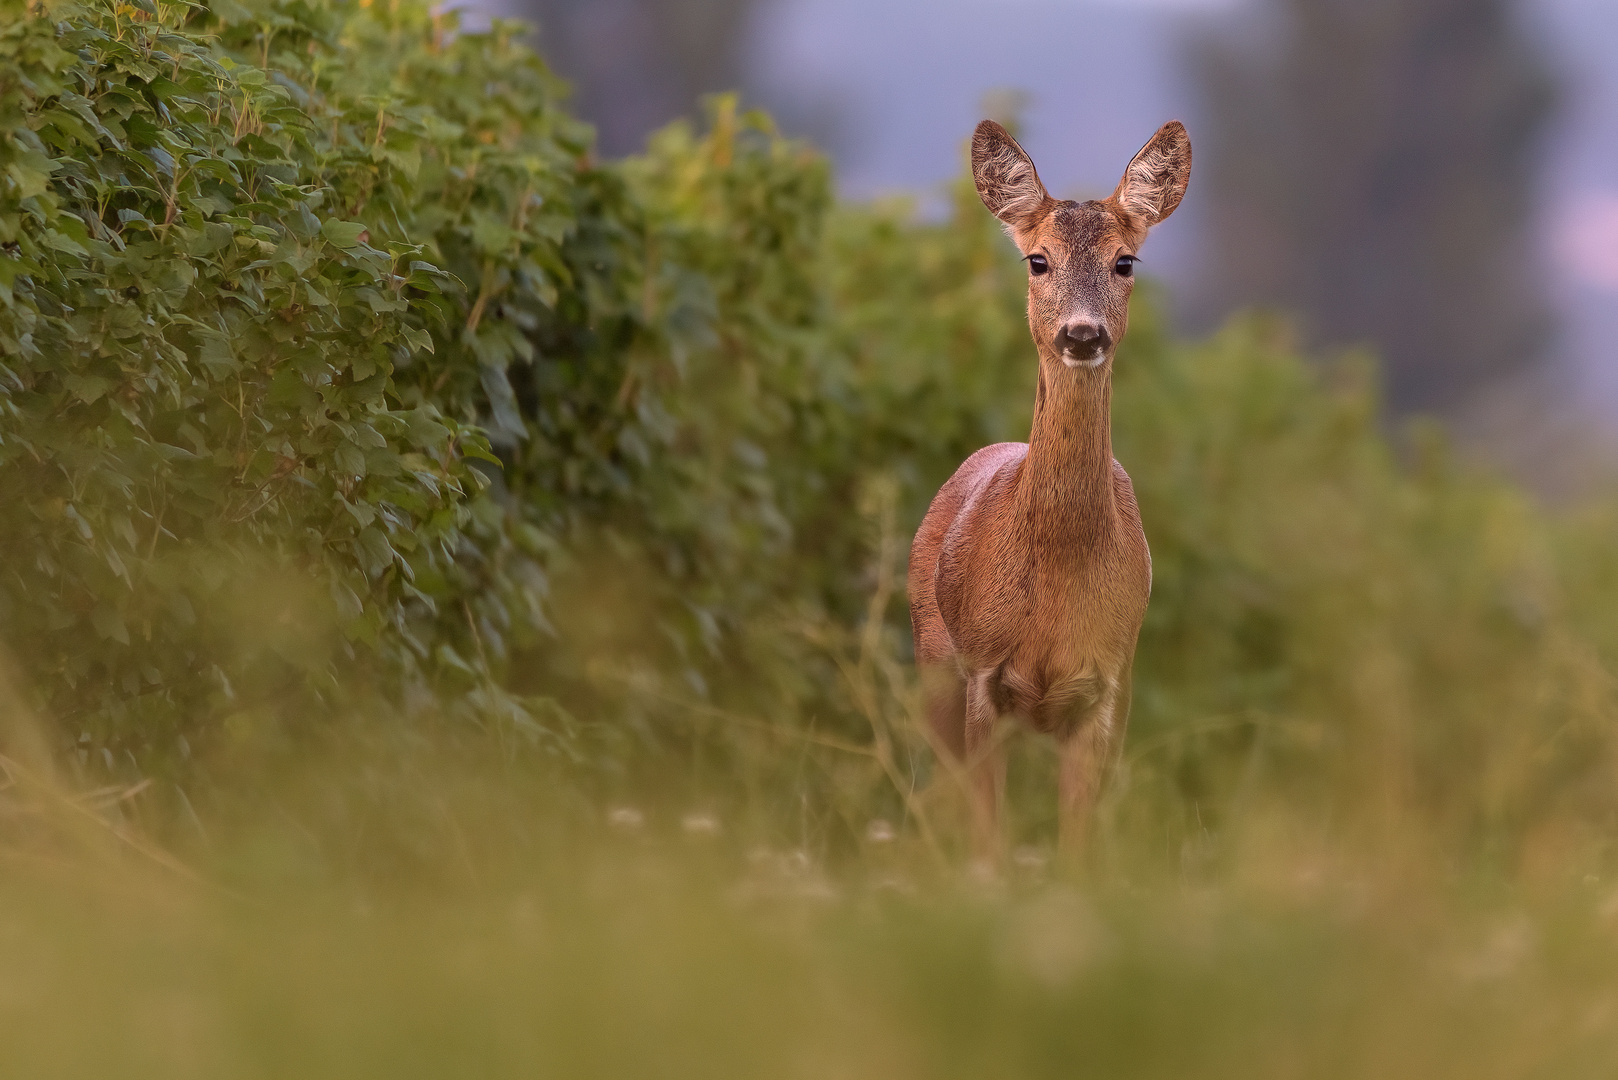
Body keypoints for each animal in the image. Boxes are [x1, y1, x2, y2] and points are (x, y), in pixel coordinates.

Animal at [912, 118, 1190, 861]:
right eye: (1037, 261)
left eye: (1126, 262)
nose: (1083, 332)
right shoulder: (983, 676)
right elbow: (987, 839)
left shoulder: (1107, 687)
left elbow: (1078, 851)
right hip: (932, 666)